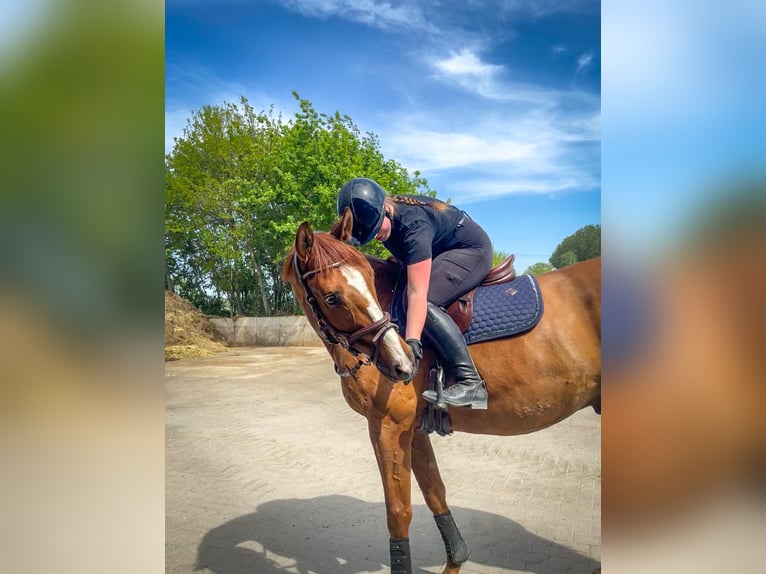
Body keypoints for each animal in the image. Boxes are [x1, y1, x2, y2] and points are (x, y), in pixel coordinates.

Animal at [281, 207, 601, 574]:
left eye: (369, 281)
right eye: (332, 297)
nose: (403, 364)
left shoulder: (387, 426)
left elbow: (399, 513)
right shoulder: (413, 430)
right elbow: (436, 494)